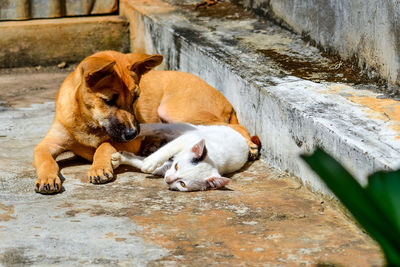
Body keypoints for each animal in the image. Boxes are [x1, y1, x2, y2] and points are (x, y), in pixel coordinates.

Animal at [111, 123, 252, 193]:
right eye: (177, 166)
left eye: (182, 184)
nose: (167, 180)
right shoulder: (184, 140)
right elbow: (166, 150)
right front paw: (150, 162)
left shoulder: (166, 169)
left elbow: (145, 165)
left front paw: (123, 158)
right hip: (183, 130)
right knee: (156, 127)